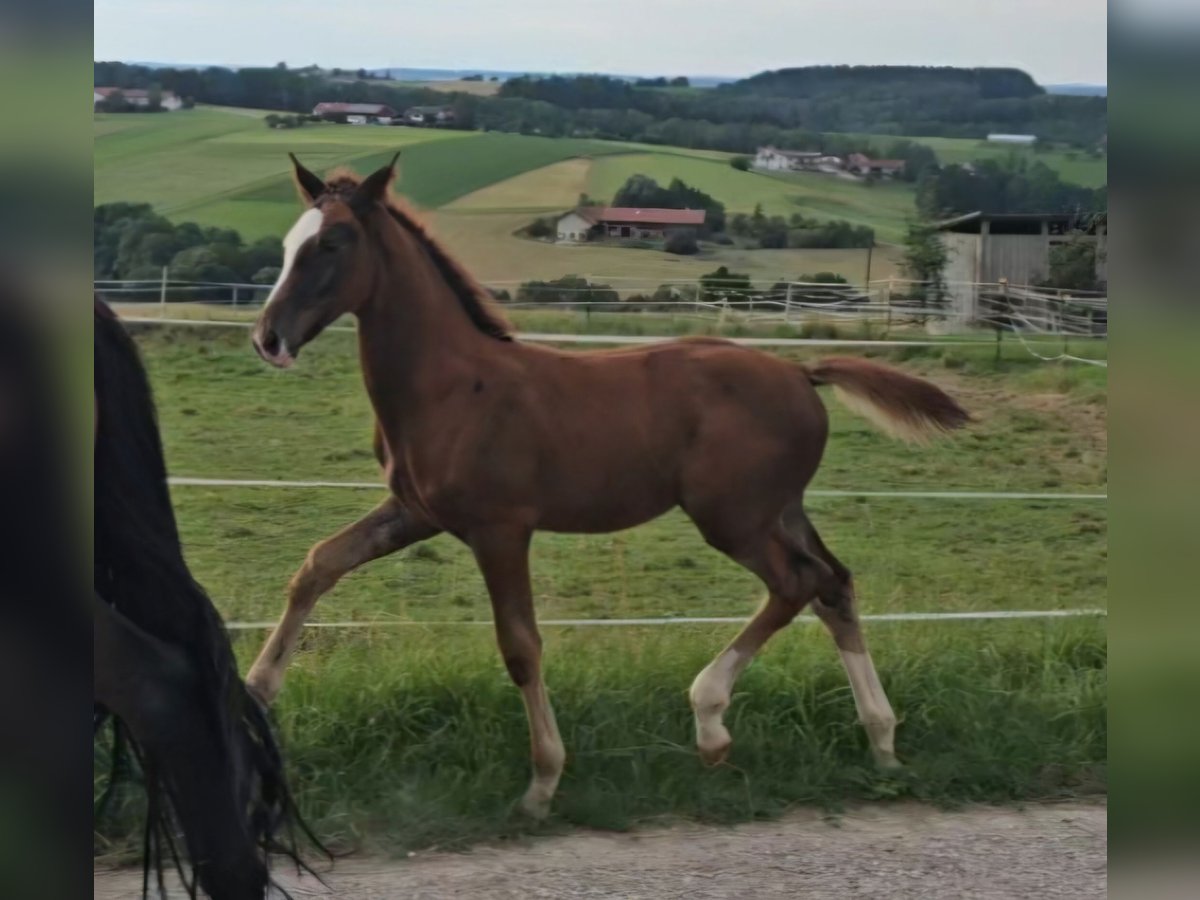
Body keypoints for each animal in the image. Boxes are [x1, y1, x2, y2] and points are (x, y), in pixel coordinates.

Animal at [243, 158, 964, 820]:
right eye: (289, 242)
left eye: (333, 244)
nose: (268, 338)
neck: (450, 388)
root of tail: (800, 373)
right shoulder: (416, 512)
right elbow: (319, 565)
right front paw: (257, 692)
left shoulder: (500, 528)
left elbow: (520, 645)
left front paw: (543, 781)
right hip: (778, 511)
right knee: (834, 584)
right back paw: (881, 739)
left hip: (732, 517)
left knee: (796, 584)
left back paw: (710, 721)